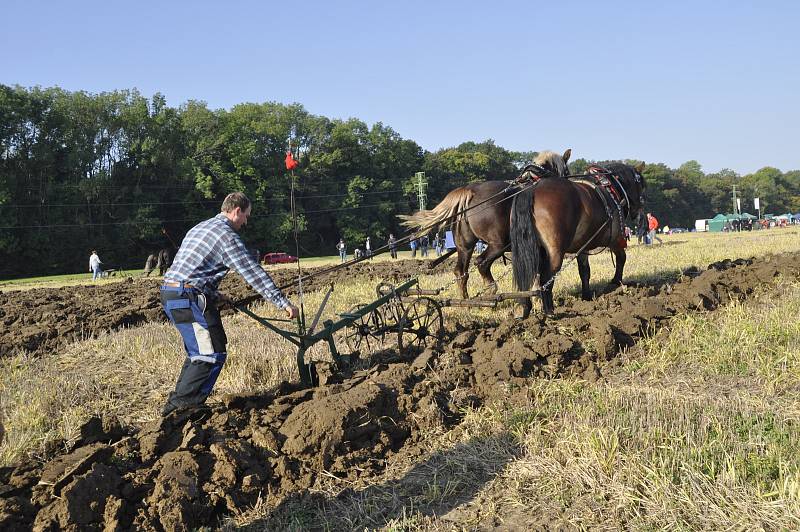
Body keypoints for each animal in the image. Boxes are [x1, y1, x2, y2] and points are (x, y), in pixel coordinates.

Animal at [396, 150, 572, 300]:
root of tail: (469, 190)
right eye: (566, 172)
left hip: (465, 245)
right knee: (481, 262)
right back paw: (490, 288)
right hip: (497, 244)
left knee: (461, 271)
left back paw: (465, 300)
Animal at [510, 160, 648, 314]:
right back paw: (549, 311)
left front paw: (586, 296)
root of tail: (532, 189)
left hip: (534, 249)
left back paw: (524, 308)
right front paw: (616, 282)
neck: (611, 189)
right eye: (641, 184)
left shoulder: (583, 247)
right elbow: (621, 258)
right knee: (547, 276)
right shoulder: (615, 239)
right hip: (555, 251)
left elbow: (584, 271)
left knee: (529, 275)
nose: (639, 212)